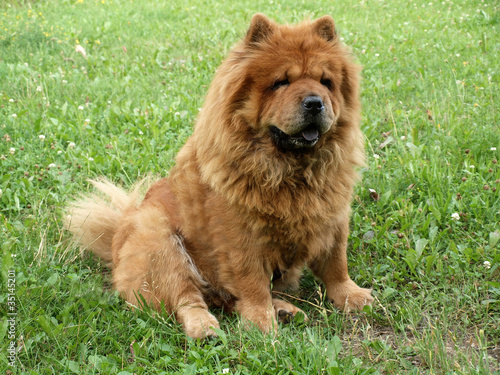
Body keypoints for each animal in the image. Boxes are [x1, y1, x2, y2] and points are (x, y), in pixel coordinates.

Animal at [64, 13, 372, 340]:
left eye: (326, 82)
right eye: (281, 83)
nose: (315, 102)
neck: (290, 170)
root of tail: (116, 236)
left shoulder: (334, 216)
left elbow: (336, 264)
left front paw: (351, 296)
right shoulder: (239, 236)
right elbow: (252, 283)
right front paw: (261, 324)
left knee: (227, 299)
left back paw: (285, 309)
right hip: (159, 241)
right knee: (187, 298)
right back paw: (206, 328)